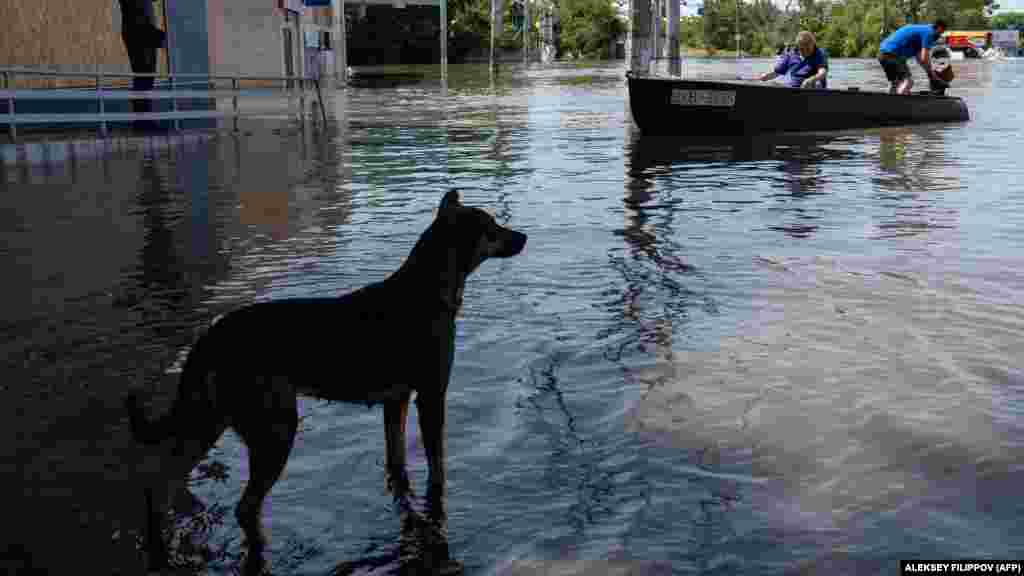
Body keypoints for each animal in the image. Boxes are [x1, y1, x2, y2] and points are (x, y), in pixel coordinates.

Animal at [125, 189, 528, 569]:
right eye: (492, 227)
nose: (523, 236)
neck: (426, 291)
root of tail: (211, 336)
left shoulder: (395, 402)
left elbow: (397, 462)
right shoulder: (431, 396)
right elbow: (437, 466)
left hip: (210, 418)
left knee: (161, 480)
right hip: (274, 429)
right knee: (242, 505)